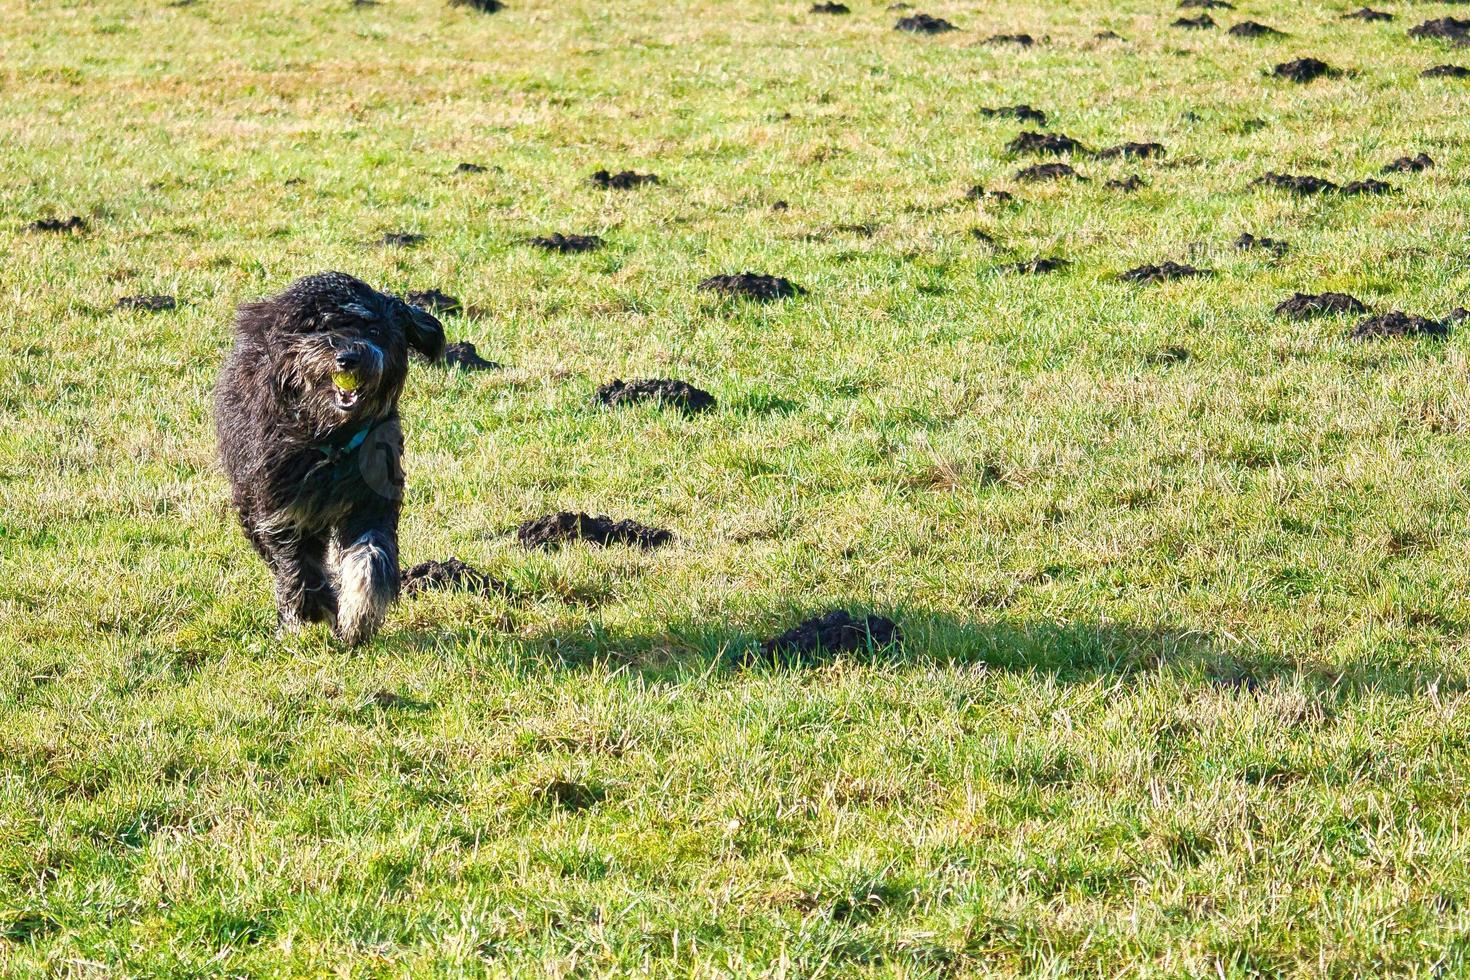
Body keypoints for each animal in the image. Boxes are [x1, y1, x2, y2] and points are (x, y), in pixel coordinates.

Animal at [213, 274, 441, 643]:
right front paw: (318, 608)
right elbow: (300, 565)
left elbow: (370, 558)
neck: (332, 437)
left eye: (374, 330)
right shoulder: (281, 507)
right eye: (323, 327)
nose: (348, 358)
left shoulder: (371, 499)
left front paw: (357, 616)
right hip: (248, 497)